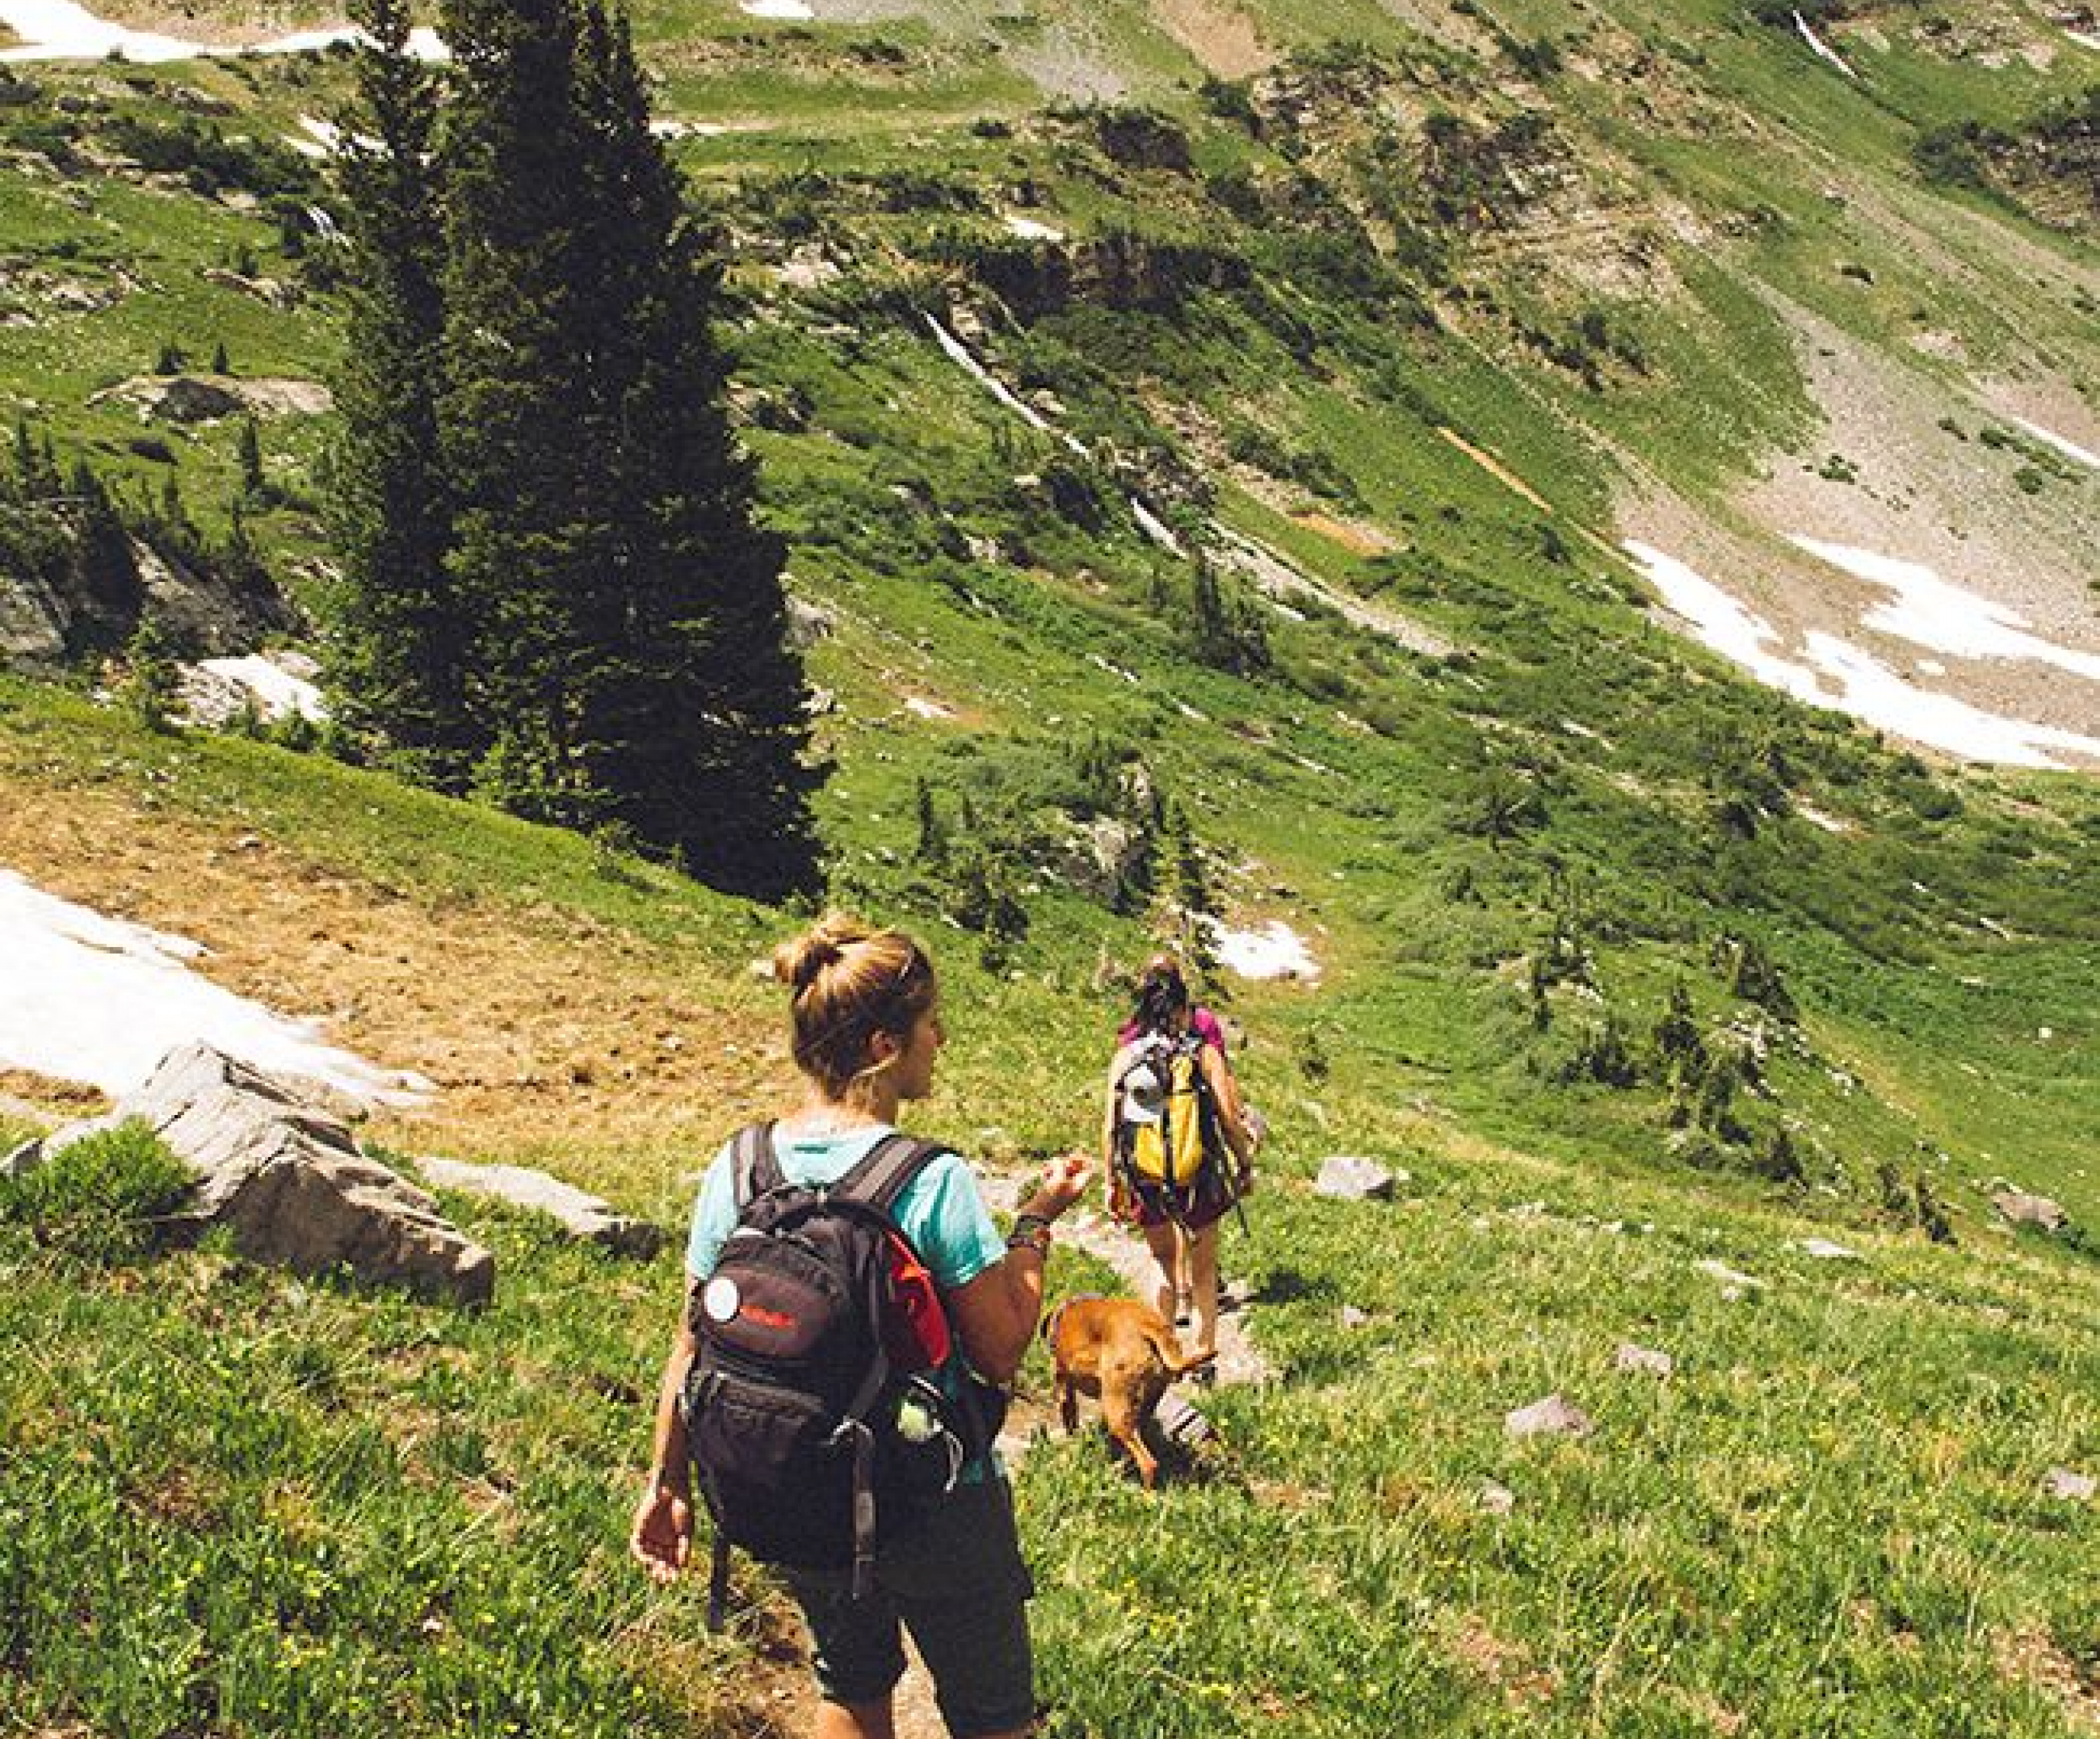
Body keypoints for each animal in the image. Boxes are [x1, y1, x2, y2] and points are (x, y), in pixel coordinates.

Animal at [1045, 1294, 1218, 1487]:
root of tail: (1148, 1325)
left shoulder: (1064, 1391)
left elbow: (1071, 1426)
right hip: (1143, 1406)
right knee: (1136, 1448)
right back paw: (1118, 1470)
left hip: (1116, 1410)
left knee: (1148, 1463)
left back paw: (1142, 1492)